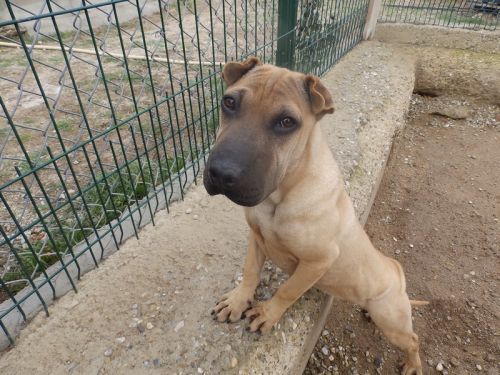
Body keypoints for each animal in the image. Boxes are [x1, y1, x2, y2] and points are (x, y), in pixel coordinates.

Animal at [203, 57, 426, 374]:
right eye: (229, 102)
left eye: (287, 122)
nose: (221, 173)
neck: (281, 195)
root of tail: (397, 271)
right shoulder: (256, 237)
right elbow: (250, 272)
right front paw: (238, 300)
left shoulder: (318, 260)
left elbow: (287, 290)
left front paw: (268, 312)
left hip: (390, 320)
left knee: (413, 340)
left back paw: (412, 364)